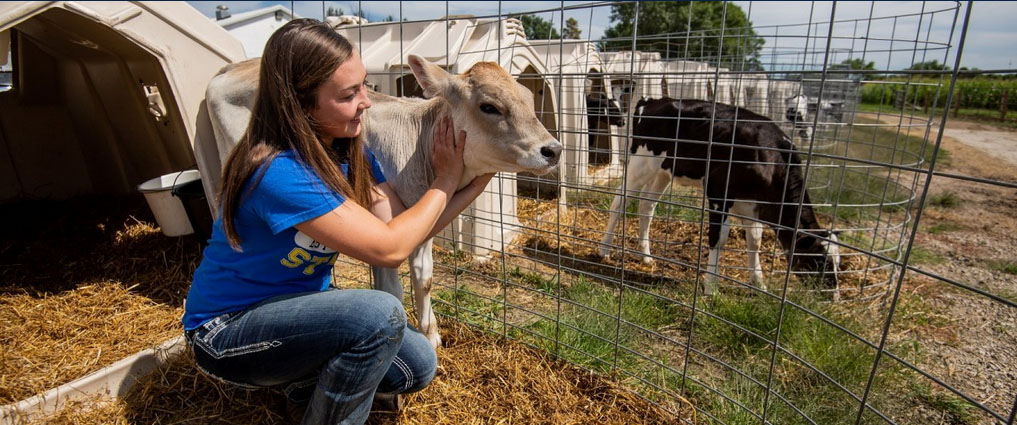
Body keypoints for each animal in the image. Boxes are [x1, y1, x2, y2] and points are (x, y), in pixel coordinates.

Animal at [202, 55, 561, 347]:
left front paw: (431, 335)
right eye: (489, 106)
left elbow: (424, 279)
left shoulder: (423, 226)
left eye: (529, 99)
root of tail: (235, 67)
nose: (553, 149)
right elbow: (392, 291)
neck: (419, 152)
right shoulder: (383, 229)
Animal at [593, 97, 842, 294]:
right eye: (821, 261)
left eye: (838, 263)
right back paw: (604, 249)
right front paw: (711, 286)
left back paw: (646, 255)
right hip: (642, 162)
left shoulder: (753, 205)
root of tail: (654, 100)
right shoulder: (718, 193)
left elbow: (755, 240)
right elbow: (718, 237)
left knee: (646, 206)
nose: (834, 295)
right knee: (619, 201)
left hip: (664, 171)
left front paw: (759, 283)